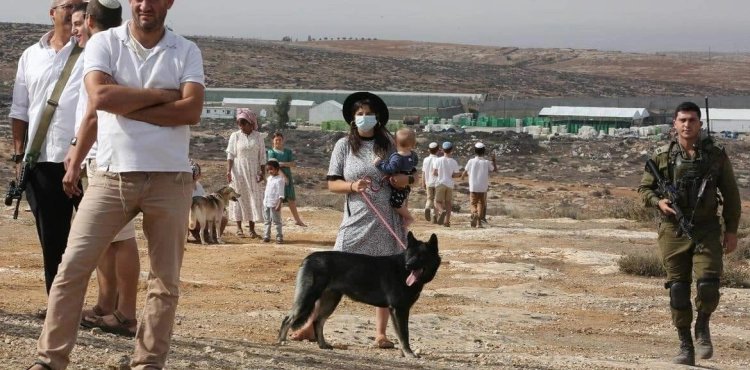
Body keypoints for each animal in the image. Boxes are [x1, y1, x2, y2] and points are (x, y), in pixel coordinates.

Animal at [280, 233, 440, 356]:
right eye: (410, 255)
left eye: (421, 256)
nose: (409, 265)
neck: (403, 270)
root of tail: (309, 257)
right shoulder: (399, 309)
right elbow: (404, 334)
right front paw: (408, 353)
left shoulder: (399, 310)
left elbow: (401, 334)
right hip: (308, 298)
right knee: (288, 319)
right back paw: (282, 341)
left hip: (330, 301)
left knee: (318, 321)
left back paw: (323, 345)